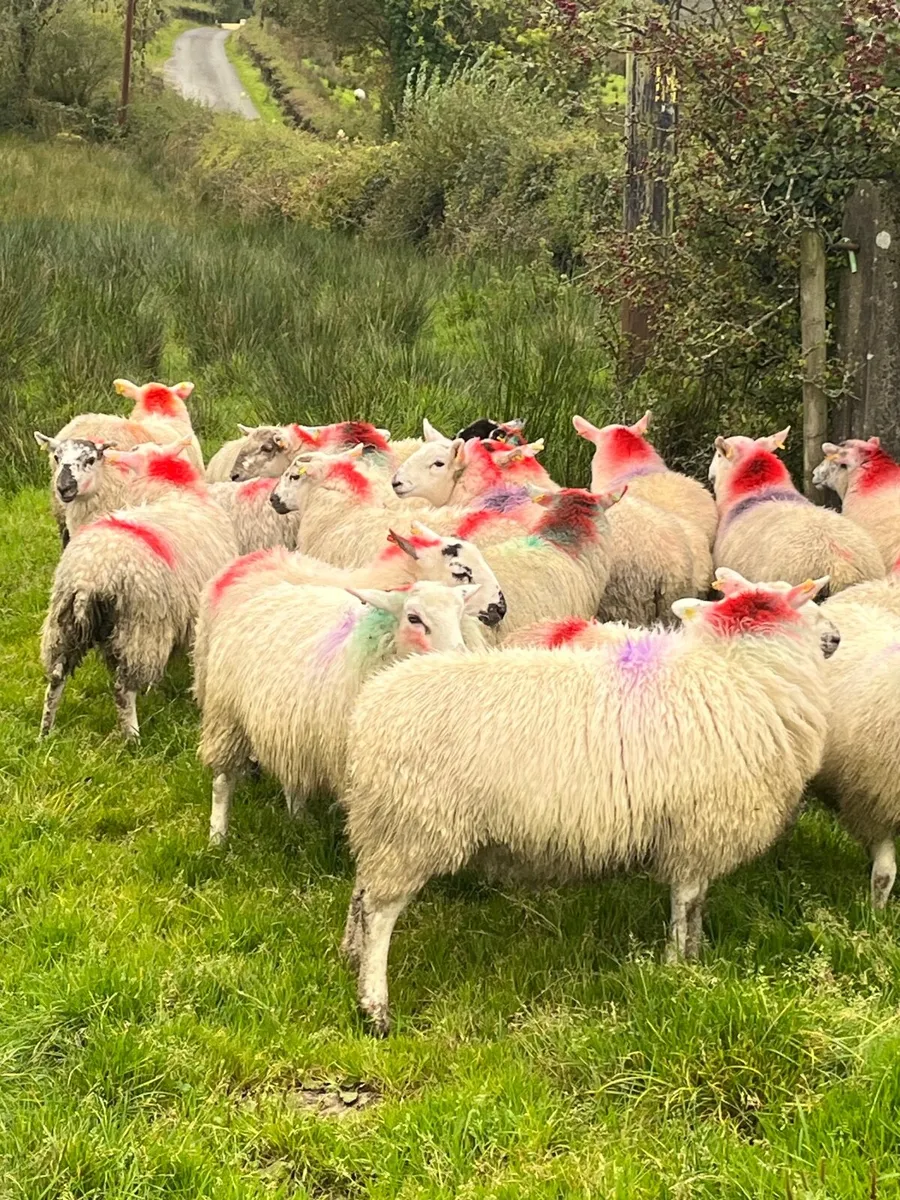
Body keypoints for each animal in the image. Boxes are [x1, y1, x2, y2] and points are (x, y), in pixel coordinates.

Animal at [40, 489, 238, 740]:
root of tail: (89, 576)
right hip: (141, 628)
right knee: (122, 688)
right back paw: (133, 737)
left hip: (64, 626)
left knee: (56, 679)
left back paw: (45, 732)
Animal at [200, 579, 482, 844]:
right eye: (414, 618)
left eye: (459, 614)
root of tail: (271, 591)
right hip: (227, 715)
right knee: (223, 781)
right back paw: (217, 837)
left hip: (291, 725)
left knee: (294, 774)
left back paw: (299, 821)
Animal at [340, 576, 831, 1034]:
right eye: (807, 606)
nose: (835, 639)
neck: (742, 670)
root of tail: (370, 708)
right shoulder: (697, 825)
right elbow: (685, 901)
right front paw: (676, 967)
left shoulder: (699, 835)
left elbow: (696, 904)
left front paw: (696, 955)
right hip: (412, 827)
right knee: (380, 912)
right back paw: (375, 1007)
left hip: (382, 824)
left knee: (362, 893)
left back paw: (350, 955)